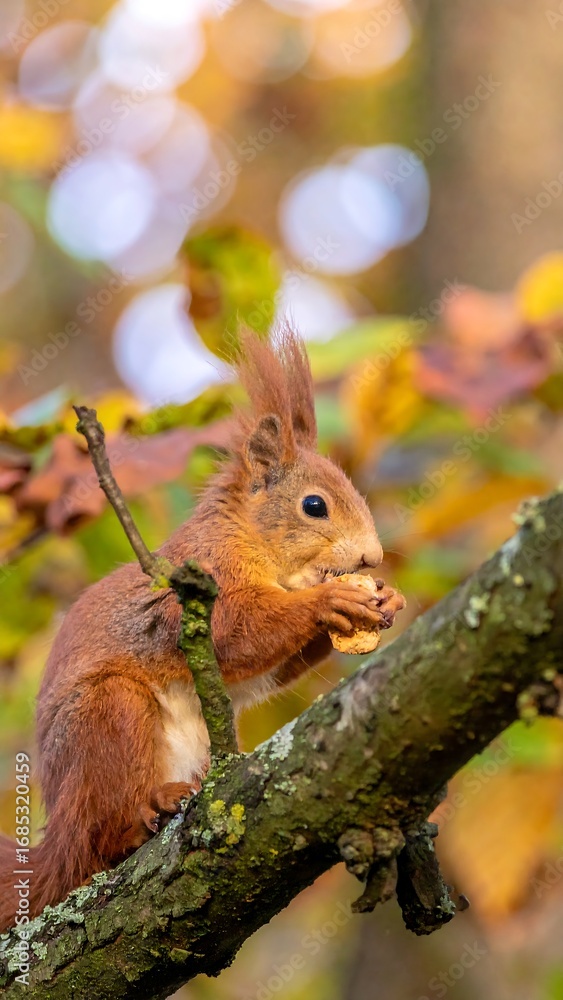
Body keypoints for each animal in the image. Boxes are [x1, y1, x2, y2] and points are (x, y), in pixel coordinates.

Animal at [0, 329, 405, 932]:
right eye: (314, 505)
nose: (373, 558)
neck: (254, 542)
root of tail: (56, 842)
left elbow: (262, 669)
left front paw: (387, 600)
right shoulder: (203, 579)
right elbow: (235, 636)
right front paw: (329, 600)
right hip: (109, 715)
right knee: (101, 839)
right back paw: (149, 811)